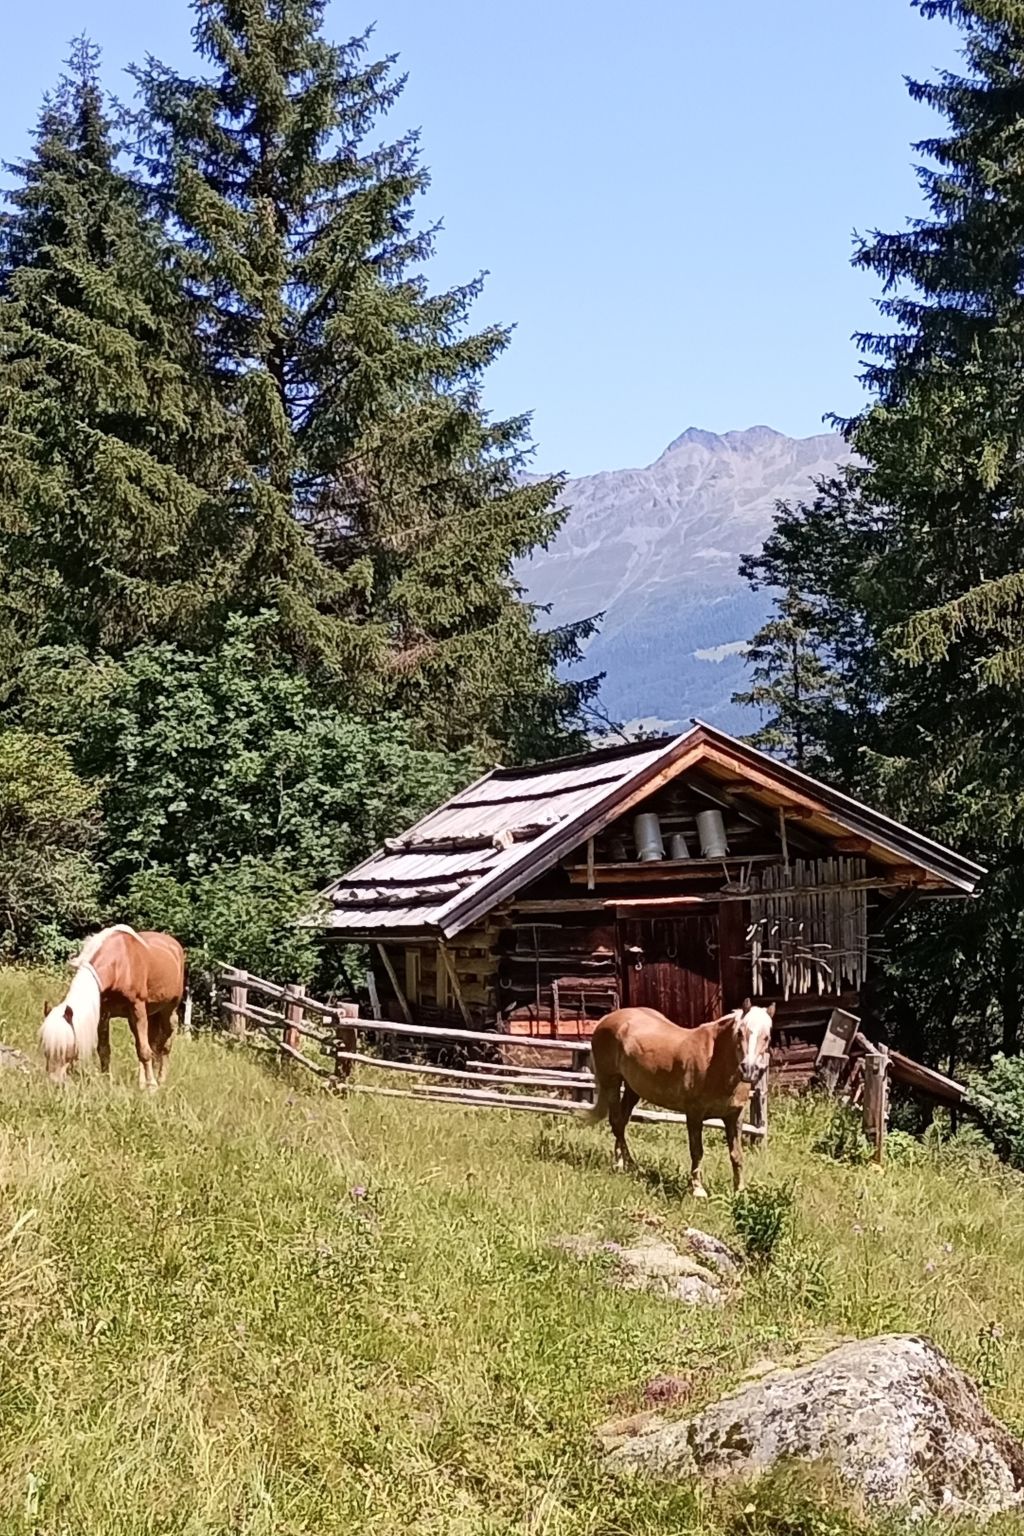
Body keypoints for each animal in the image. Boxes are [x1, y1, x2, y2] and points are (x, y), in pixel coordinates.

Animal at [40, 921, 188, 1093]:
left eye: (66, 1047)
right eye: (45, 1047)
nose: (54, 1083)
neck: (121, 965)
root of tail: (174, 944)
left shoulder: (137, 1008)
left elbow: (144, 1051)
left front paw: (152, 1087)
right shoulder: (103, 1013)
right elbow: (105, 1050)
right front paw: (106, 1082)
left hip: (167, 1011)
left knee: (164, 1045)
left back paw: (160, 1081)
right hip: (145, 1016)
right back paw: (141, 1083)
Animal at [580, 1001, 773, 1204]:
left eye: (767, 1037)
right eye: (740, 1033)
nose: (749, 1069)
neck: (716, 1061)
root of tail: (606, 1019)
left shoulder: (734, 1117)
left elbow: (736, 1155)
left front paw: (740, 1192)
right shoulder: (695, 1114)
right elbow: (697, 1151)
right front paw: (698, 1190)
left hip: (633, 1089)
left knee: (621, 1123)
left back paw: (625, 1165)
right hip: (611, 1081)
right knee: (616, 1122)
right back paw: (627, 1165)